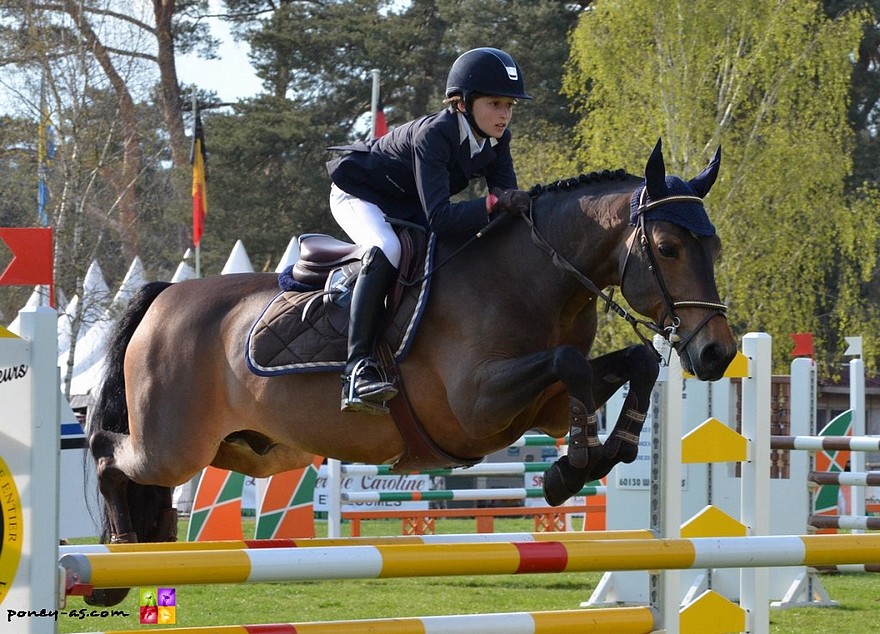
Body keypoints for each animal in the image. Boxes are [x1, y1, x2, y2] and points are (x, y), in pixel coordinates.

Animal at [87, 138, 736, 604]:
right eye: (669, 248)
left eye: (716, 248)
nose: (717, 355)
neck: (533, 278)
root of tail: (165, 297)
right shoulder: (478, 408)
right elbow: (570, 363)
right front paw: (573, 464)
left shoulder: (543, 406)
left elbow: (633, 362)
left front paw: (606, 451)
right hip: (174, 446)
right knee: (107, 453)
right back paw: (114, 559)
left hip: (252, 450)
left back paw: (147, 551)